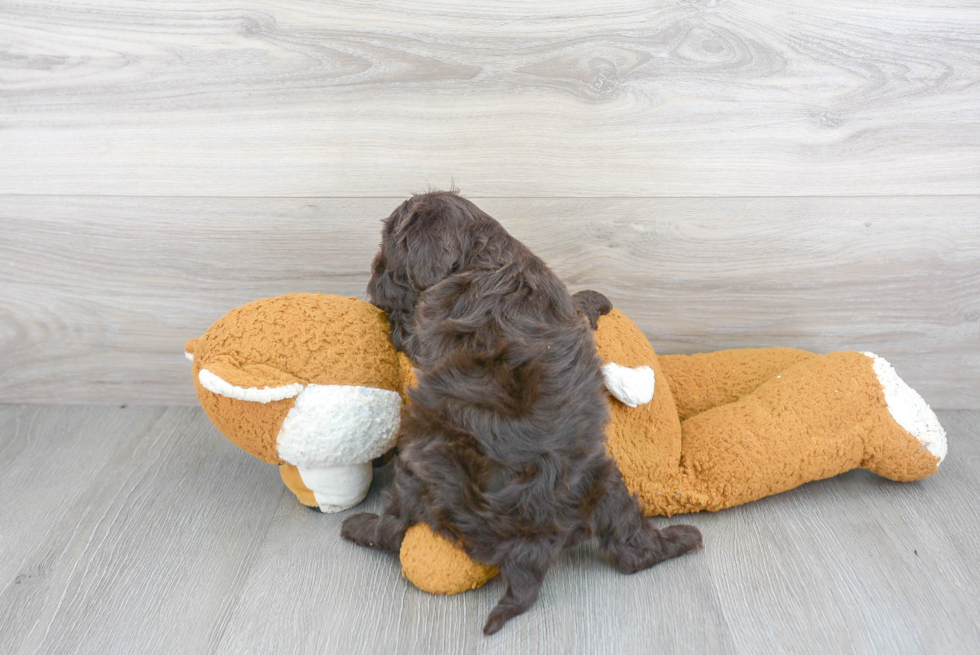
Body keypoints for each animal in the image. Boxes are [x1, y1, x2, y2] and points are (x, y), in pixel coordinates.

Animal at [340, 191, 700, 636]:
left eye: (387, 249)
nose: (372, 280)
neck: (485, 260)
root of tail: (531, 541)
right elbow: (577, 305)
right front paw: (595, 299)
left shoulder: (423, 325)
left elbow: (404, 327)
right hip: (605, 484)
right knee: (633, 550)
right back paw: (684, 538)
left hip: (419, 474)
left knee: (393, 529)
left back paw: (358, 527)